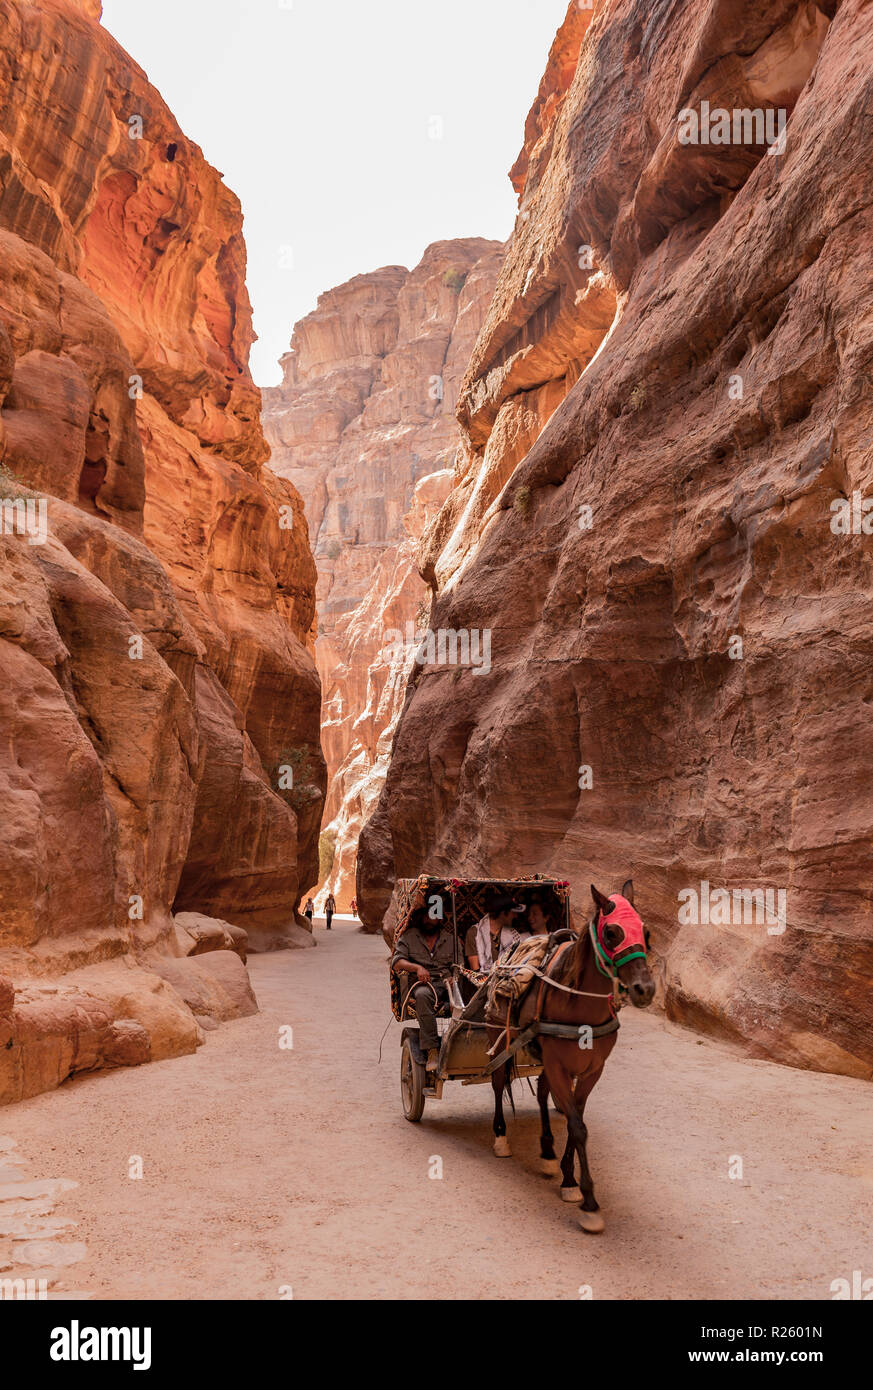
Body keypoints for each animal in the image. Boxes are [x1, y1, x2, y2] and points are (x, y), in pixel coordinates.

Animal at [486, 884, 650, 1234]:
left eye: (646, 932)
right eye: (612, 933)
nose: (645, 989)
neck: (579, 1005)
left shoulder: (591, 1071)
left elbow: (578, 1119)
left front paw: (566, 1176)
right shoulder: (560, 1067)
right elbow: (577, 1126)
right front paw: (588, 1200)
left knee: (542, 1093)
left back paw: (547, 1151)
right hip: (497, 1037)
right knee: (497, 1083)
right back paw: (501, 1137)